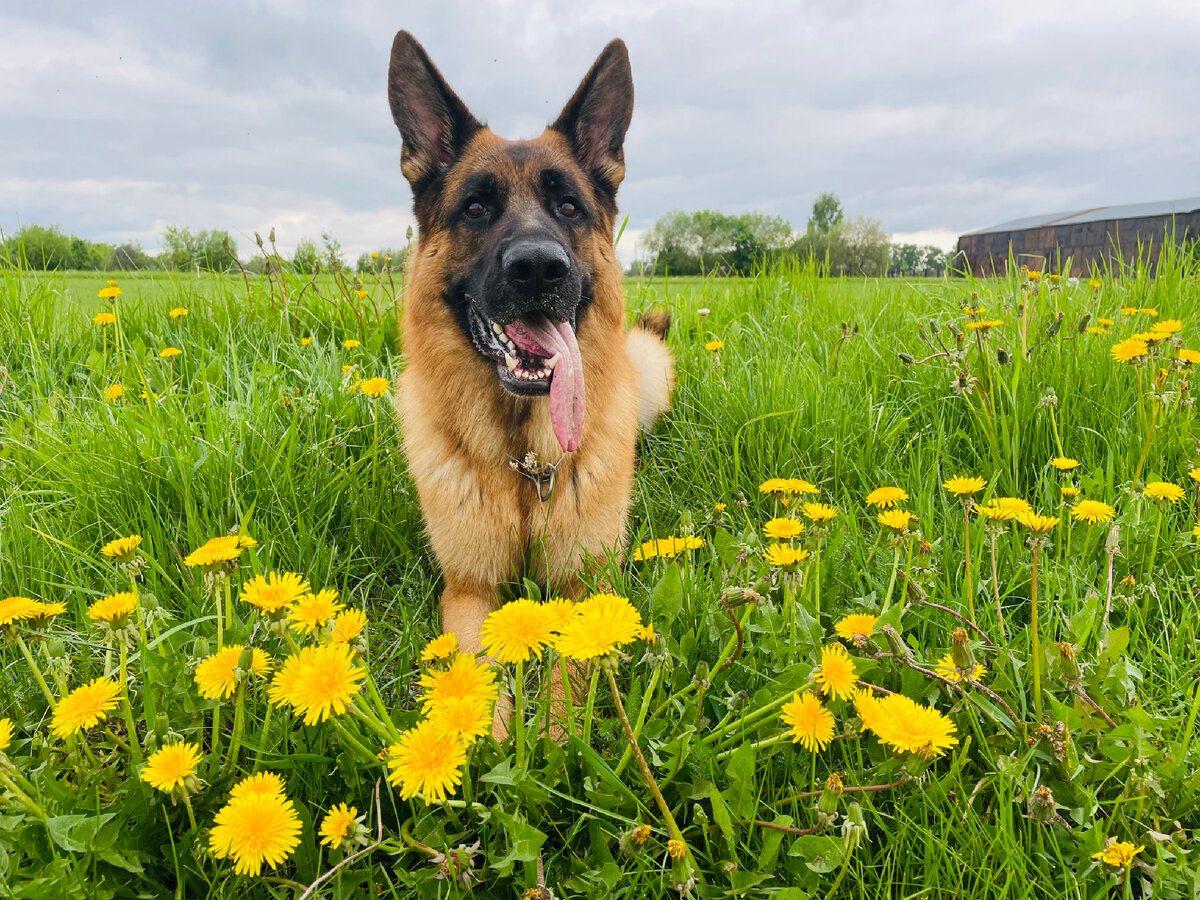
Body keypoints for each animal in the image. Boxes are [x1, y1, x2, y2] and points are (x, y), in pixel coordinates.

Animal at [391, 33, 681, 662]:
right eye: (476, 208)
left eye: (568, 207)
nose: (538, 269)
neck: (526, 464)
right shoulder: (469, 591)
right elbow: (472, 673)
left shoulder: (585, 585)